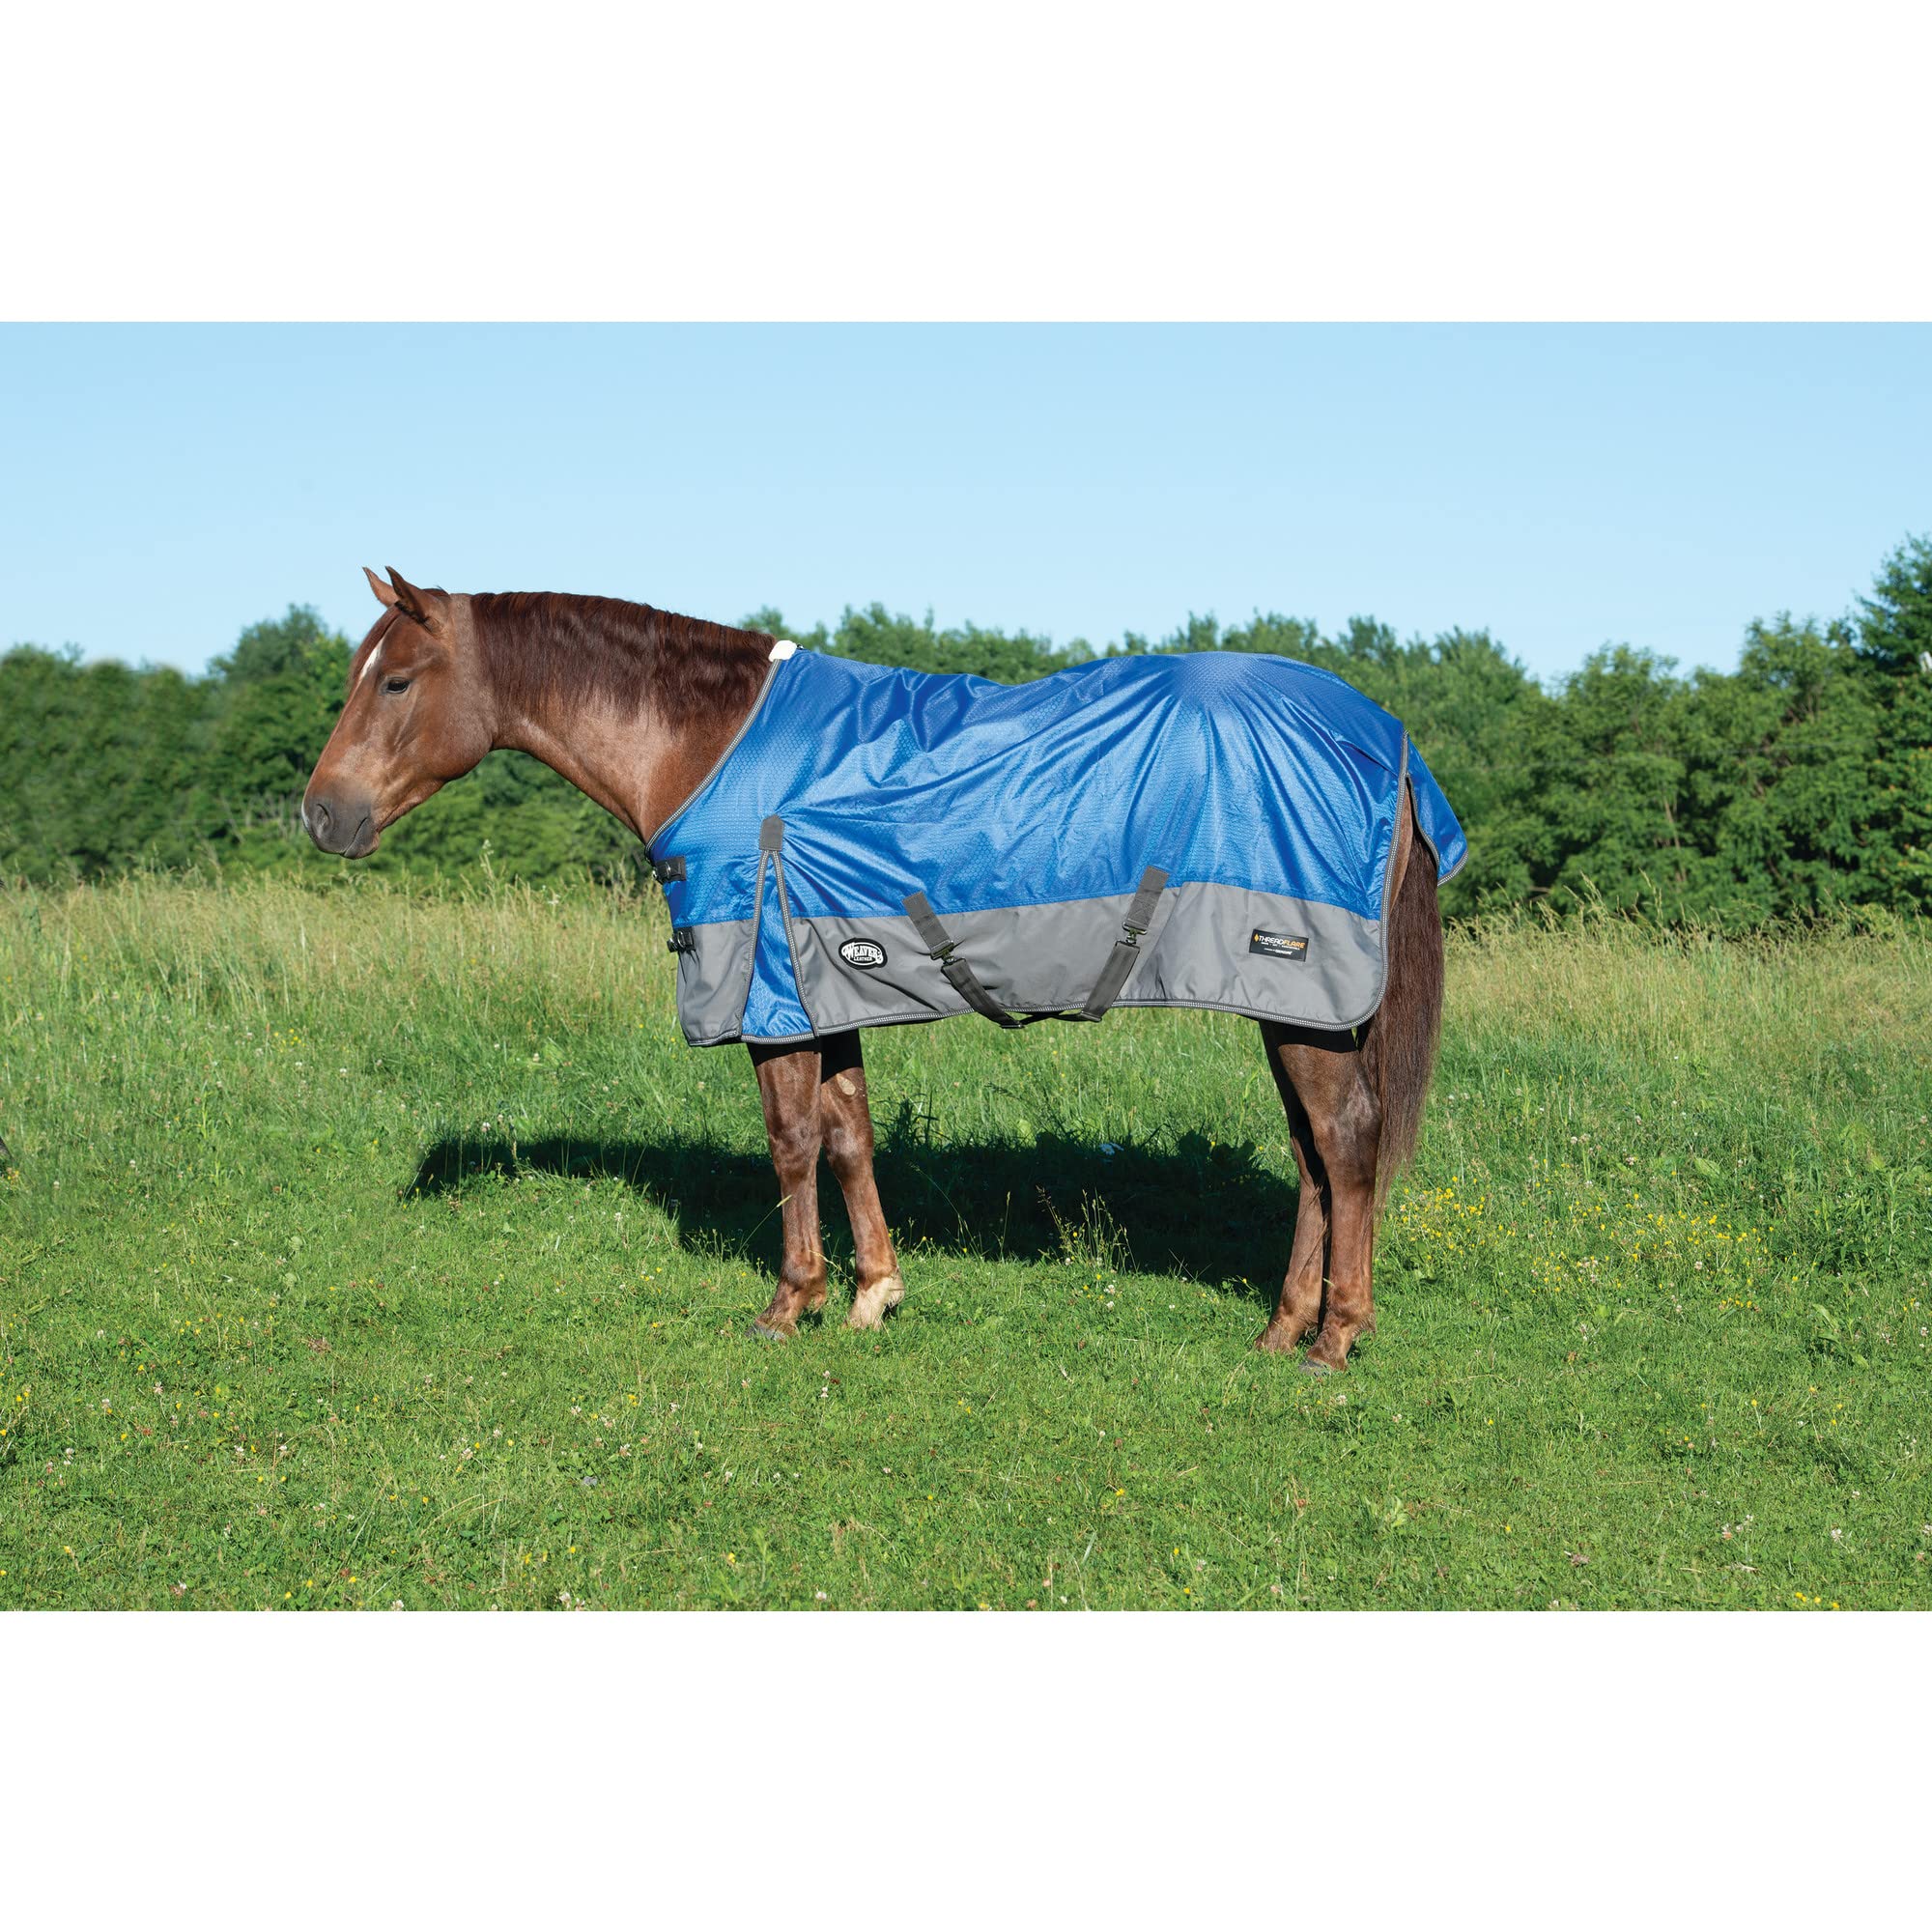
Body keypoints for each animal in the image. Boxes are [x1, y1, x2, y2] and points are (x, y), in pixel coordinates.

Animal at [302, 567, 1450, 1371]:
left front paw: (788, 1304)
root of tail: (1384, 738)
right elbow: (850, 1136)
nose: (321, 814)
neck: (709, 748)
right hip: (1301, 1010)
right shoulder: (825, 989)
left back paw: (1334, 1339)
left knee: (1344, 1145)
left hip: (1300, 1001)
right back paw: (1280, 1329)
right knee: (1313, 1157)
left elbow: (791, 1144)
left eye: (395, 680)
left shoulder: (768, 998)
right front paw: (872, 1295)